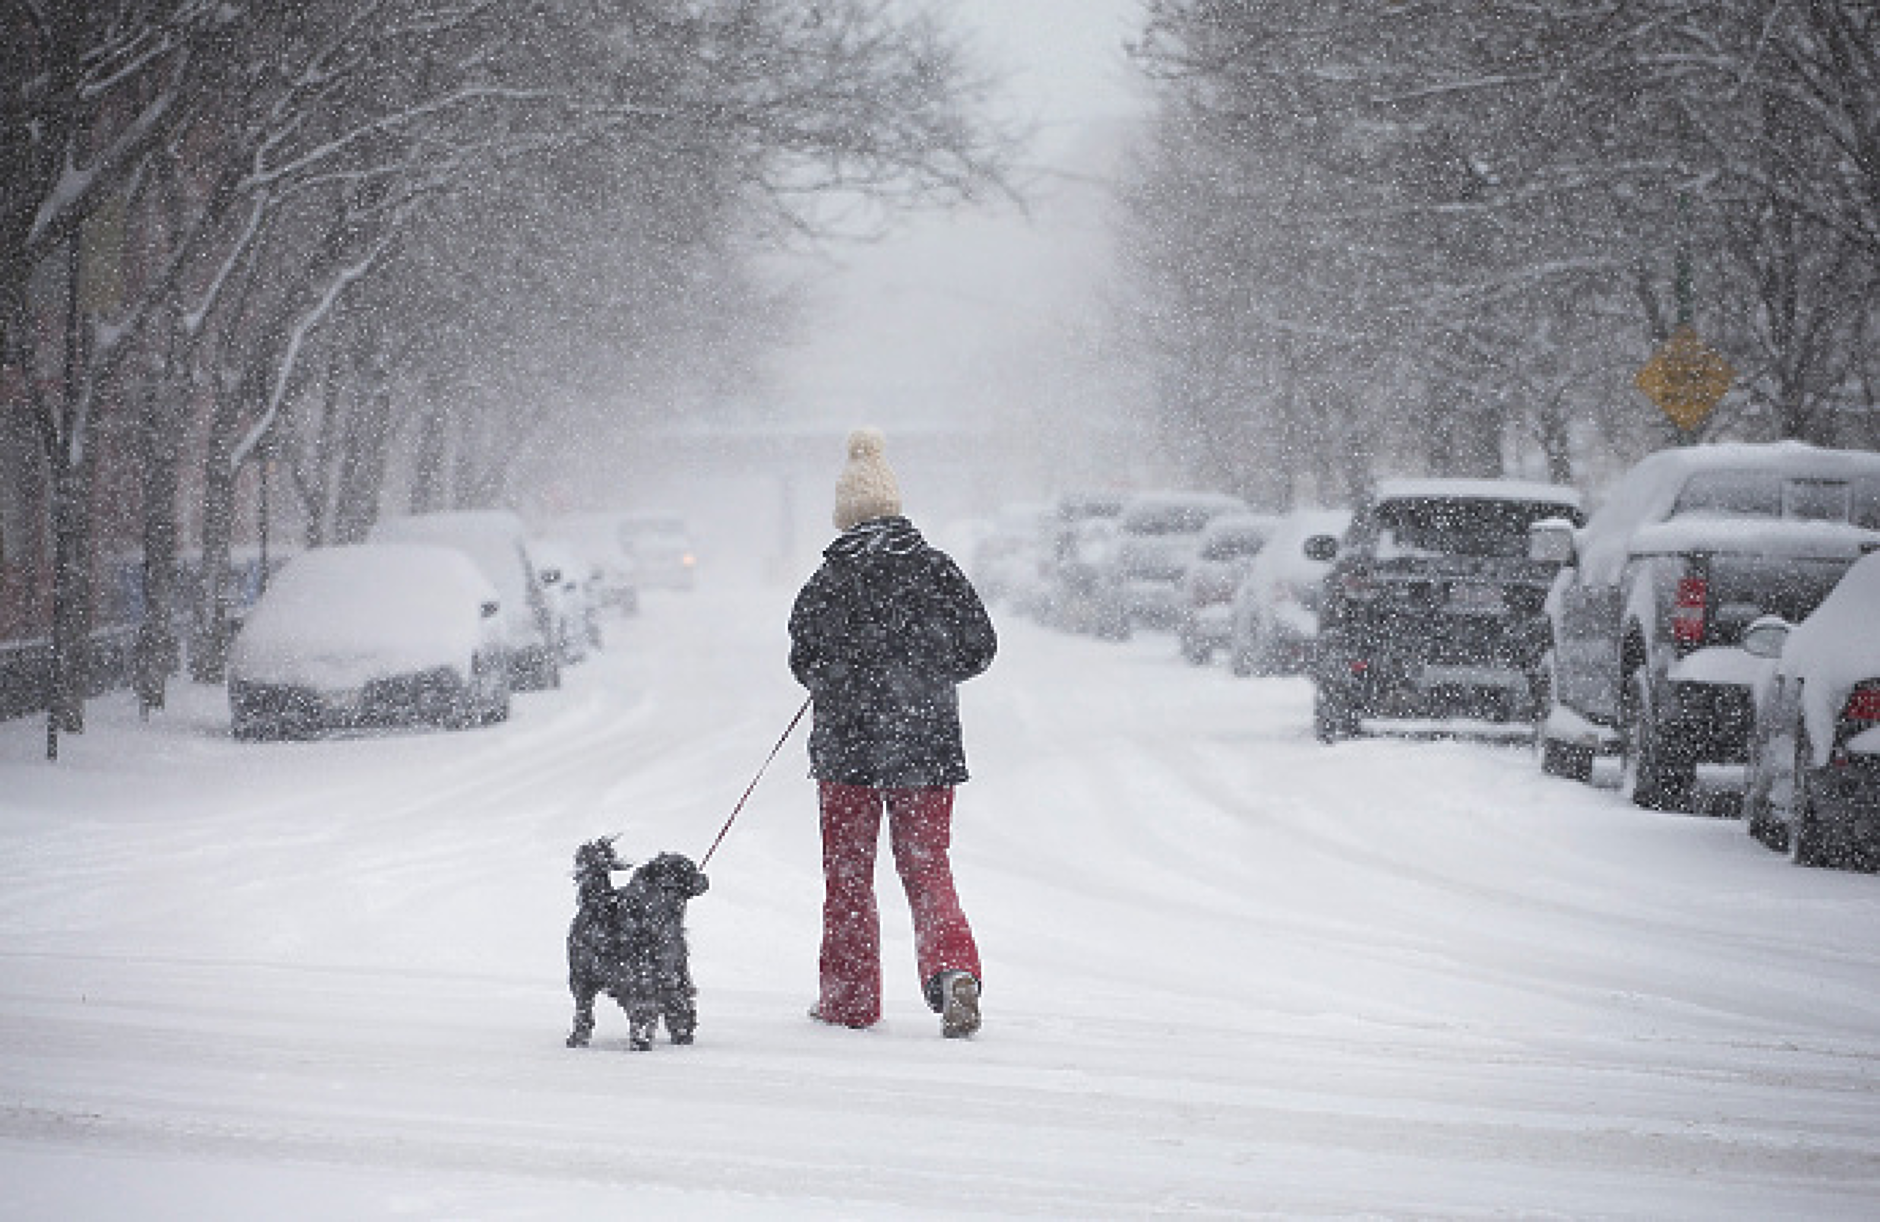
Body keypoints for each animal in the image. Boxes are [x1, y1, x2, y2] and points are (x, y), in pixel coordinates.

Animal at [564, 838, 710, 1045]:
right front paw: (683, 1032)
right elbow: (679, 1002)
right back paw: (642, 1041)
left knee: (584, 1010)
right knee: (642, 1010)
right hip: (637, 974)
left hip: (581, 974)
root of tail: (602, 907)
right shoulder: (671, 970)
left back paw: (578, 1038)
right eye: (690, 868)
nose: (705, 878)